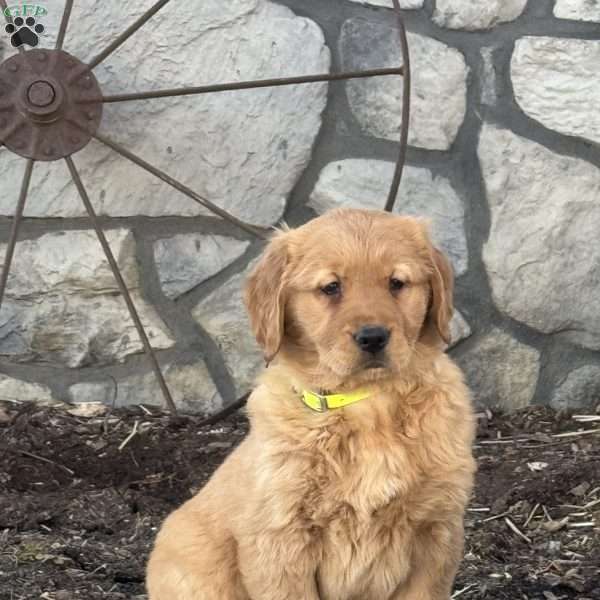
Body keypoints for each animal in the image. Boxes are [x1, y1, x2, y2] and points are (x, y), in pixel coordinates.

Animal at [148, 209, 476, 596]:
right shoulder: (280, 539)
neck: (367, 402)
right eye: (331, 287)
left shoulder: (436, 530)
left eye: (397, 283)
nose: (373, 337)